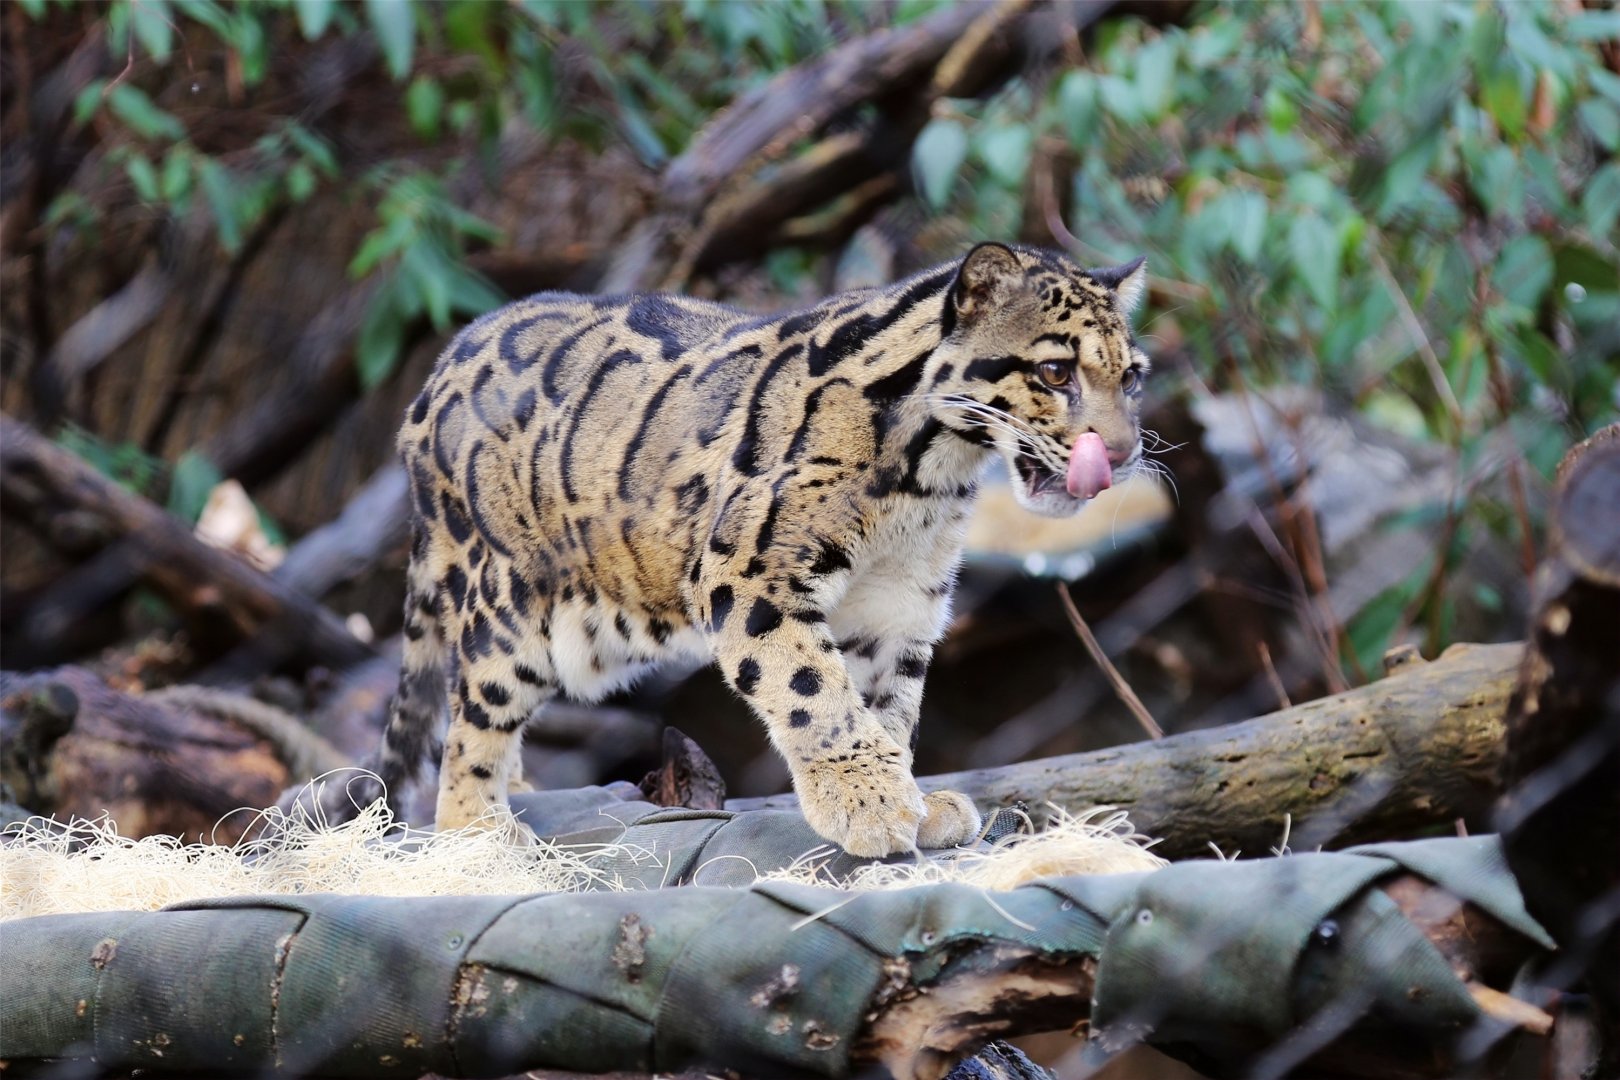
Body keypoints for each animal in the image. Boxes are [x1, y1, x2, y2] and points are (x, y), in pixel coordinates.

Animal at [344, 241, 1150, 857]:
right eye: (1055, 371)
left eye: (1132, 377)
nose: (1122, 451)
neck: (931, 475)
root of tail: (434, 377)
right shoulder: (751, 572)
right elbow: (813, 692)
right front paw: (870, 802)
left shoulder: (900, 605)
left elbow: (887, 703)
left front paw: (910, 800)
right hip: (509, 608)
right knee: (470, 718)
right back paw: (478, 827)